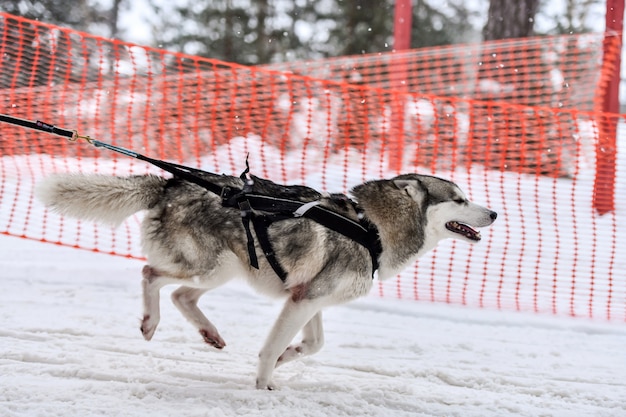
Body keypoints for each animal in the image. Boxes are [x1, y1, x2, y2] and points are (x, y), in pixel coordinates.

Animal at [35, 171, 492, 388]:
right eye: (460, 199)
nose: (494, 213)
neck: (371, 228)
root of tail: (170, 184)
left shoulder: (306, 298)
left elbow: (312, 344)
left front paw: (289, 356)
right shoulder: (306, 300)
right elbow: (270, 349)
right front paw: (263, 384)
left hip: (226, 270)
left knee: (182, 295)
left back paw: (210, 334)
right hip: (212, 266)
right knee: (151, 274)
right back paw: (150, 323)